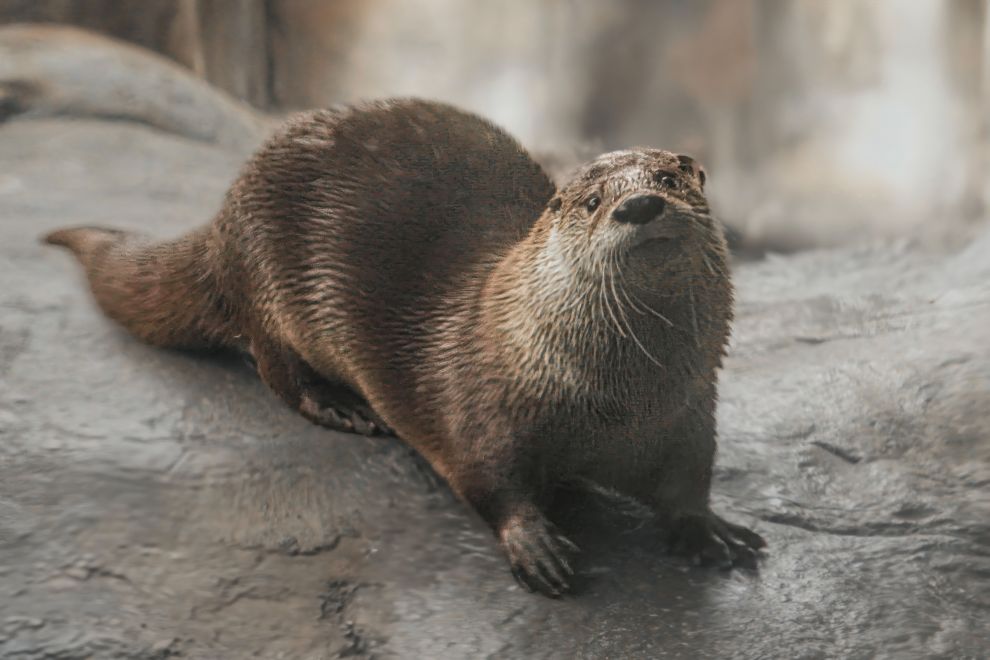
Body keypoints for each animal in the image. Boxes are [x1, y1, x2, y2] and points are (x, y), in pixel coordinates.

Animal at [44, 98, 765, 596]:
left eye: (672, 179)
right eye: (591, 201)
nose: (639, 206)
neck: (617, 404)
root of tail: (223, 214)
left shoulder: (690, 415)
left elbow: (689, 482)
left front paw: (710, 529)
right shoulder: (479, 410)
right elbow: (485, 479)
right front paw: (535, 544)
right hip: (268, 276)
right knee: (273, 364)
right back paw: (341, 406)